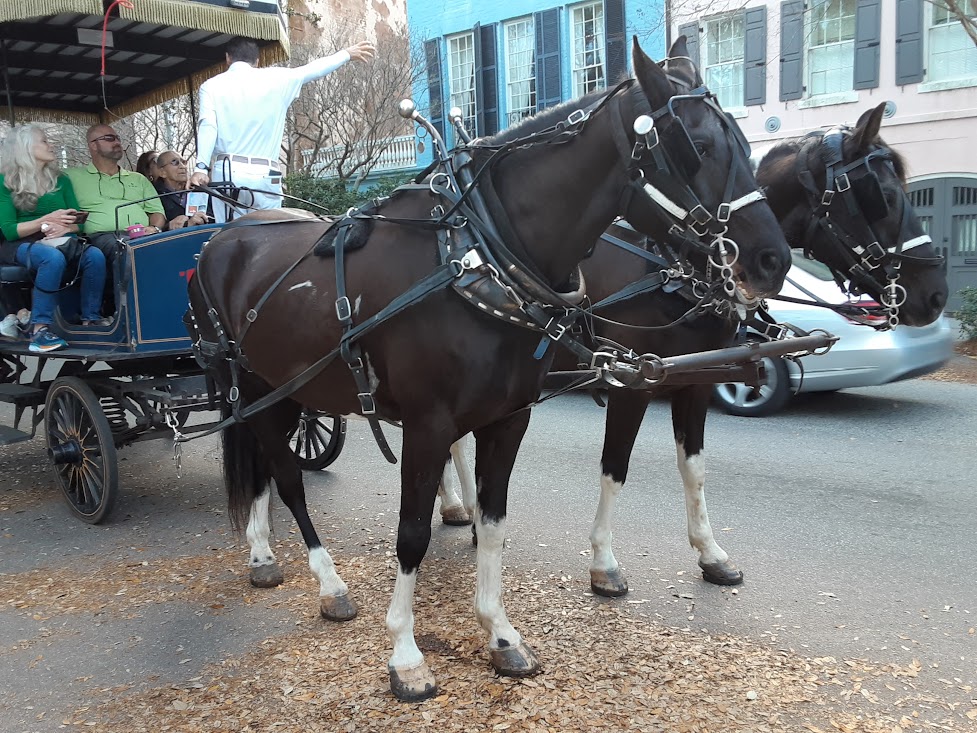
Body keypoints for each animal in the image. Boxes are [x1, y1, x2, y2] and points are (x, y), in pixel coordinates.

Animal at [189, 38, 792, 696]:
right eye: (698, 146)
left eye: (744, 142)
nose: (774, 259)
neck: (478, 257)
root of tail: (224, 238)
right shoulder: (429, 424)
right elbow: (412, 533)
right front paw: (406, 655)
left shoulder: (510, 417)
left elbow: (496, 520)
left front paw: (500, 633)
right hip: (251, 384)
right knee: (286, 476)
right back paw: (325, 582)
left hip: (282, 390)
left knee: (265, 469)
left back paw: (264, 552)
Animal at [438, 103, 940, 596]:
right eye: (883, 196)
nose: (935, 294)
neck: (678, 264)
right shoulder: (632, 382)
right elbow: (615, 467)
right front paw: (604, 562)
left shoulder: (694, 379)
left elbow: (694, 468)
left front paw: (710, 553)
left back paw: (459, 508)